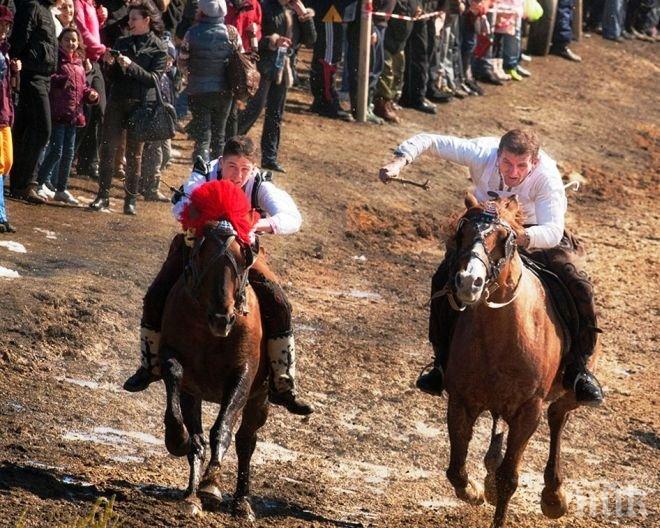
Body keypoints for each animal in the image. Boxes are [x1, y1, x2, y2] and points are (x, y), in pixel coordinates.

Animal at [159, 220, 266, 520]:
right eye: (202, 257)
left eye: (243, 258)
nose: (223, 318)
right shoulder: (184, 376)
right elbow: (174, 376)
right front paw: (177, 439)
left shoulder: (242, 376)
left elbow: (223, 429)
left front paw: (212, 484)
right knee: (198, 440)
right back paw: (191, 495)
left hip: (260, 399)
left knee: (246, 441)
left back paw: (242, 502)